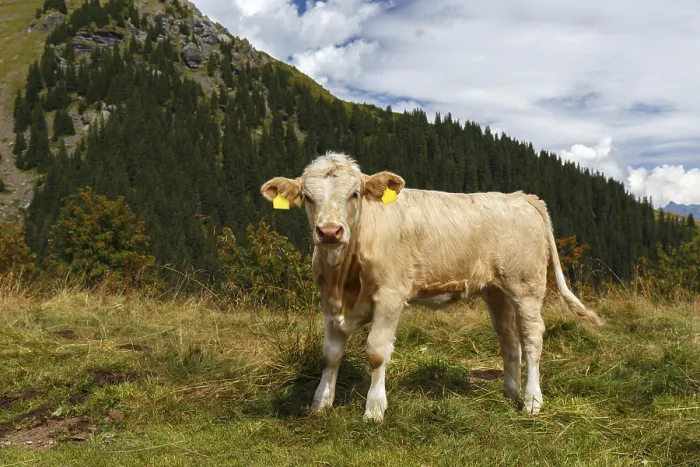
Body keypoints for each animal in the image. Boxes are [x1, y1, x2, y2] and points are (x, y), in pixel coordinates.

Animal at [260, 152, 603, 422]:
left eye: (355, 194)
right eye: (308, 197)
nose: (330, 231)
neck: (345, 278)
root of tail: (520, 197)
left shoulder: (391, 296)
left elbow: (376, 351)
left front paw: (374, 410)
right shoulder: (330, 303)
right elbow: (330, 354)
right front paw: (320, 404)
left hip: (526, 285)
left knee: (532, 339)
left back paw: (531, 401)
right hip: (496, 291)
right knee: (509, 339)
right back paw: (510, 393)